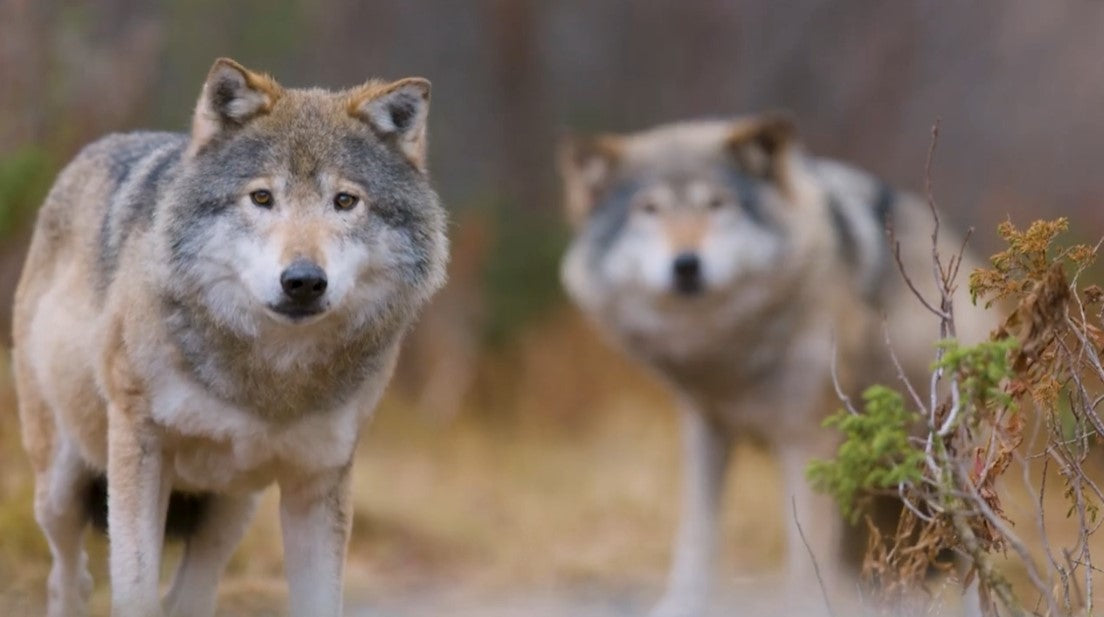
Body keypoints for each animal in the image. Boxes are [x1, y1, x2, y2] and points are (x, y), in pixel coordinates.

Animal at [11, 58, 448, 617]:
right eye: (262, 197)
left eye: (345, 201)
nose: (303, 281)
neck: (269, 376)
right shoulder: (139, 446)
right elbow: (134, 588)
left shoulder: (319, 477)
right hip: (62, 487)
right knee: (69, 578)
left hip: (230, 513)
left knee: (189, 593)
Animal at [558, 114, 993, 616]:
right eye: (649, 209)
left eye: (717, 204)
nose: (686, 265)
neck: (728, 354)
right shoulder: (705, 427)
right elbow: (697, 535)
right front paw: (682, 605)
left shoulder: (807, 440)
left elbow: (805, 557)